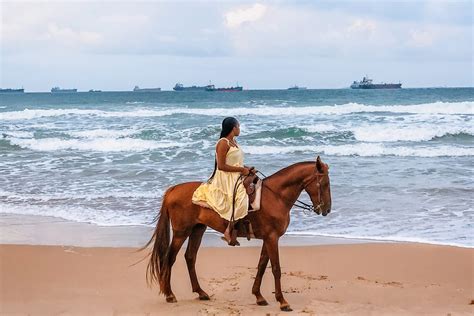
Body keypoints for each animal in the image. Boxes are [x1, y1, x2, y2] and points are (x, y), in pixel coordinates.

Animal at [146, 156, 332, 312]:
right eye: (324, 183)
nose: (327, 209)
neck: (275, 196)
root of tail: (173, 189)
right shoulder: (272, 238)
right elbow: (276, 269)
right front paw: (282, 302)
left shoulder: (268, 238)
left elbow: (262, 266)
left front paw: (259, 296)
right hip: (181, 232)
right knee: (170, 259)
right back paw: (169, 294)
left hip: (198, 229)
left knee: (190, 257)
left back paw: (200, 292)